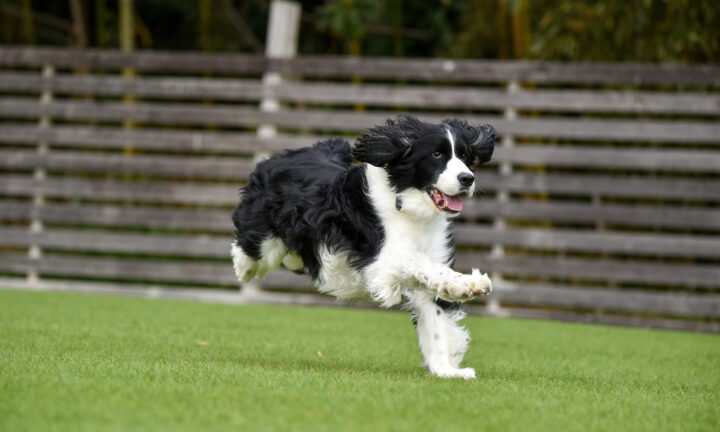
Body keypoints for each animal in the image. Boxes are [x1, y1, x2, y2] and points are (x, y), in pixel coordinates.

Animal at [231, 114, 497, 379]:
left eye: (464, 155)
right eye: (437, 154)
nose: (467, 178)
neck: (407, 204)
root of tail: (281, 156)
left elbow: (436, 324)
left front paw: (446, 371)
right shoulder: (381, 259)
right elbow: (418, 262)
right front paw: (470, 283)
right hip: (263, 234)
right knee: (249, 248)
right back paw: (244, 268)